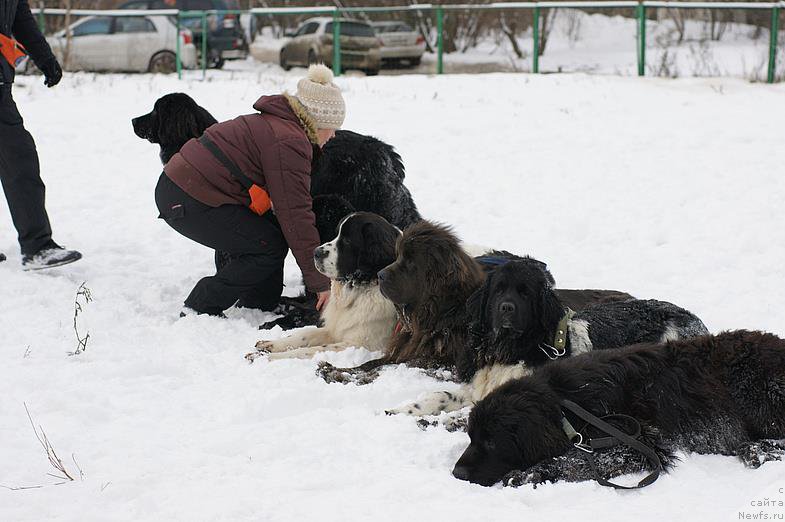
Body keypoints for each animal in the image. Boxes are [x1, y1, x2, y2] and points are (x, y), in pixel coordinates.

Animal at [247, 213, 404, 360]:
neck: (362, 288)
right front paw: (270, 345)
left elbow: (311, 350)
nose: (315, 252)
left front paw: (268, 357)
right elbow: (305, 334)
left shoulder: (359, 345)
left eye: (347, 240)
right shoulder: (333, 329)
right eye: (336, 234)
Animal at [388, 258, 708, 414]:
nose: (506, 308)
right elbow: (440, 395)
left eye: (525, 293)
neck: (507, 349)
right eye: (498, 291)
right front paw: (403, 410)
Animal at [450, 330, 784, 484]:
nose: (457, 472)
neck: (565, 401)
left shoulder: (638, 439)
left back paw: (757, 450)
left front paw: (531, 473)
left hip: (754, 387)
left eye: (492, 442)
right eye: (472, 438)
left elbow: (579, 460)